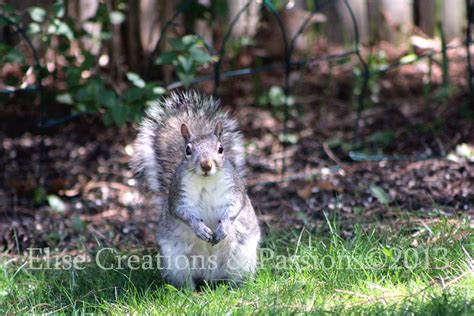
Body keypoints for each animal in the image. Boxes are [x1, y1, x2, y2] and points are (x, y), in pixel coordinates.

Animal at [131, 89, 262, 288]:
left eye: (221, 149)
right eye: (187, 150)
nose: (206, 165)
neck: (205, 181)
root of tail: (210, 276)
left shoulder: (235, 190)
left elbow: (234, 208)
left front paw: (223, 227)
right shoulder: (179, 194)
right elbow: (181, 212)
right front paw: (199, 228)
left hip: (241, 260)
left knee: (235, 279)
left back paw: (236, 288)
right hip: (177, 263)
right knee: (186, 281)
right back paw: (188, 291)